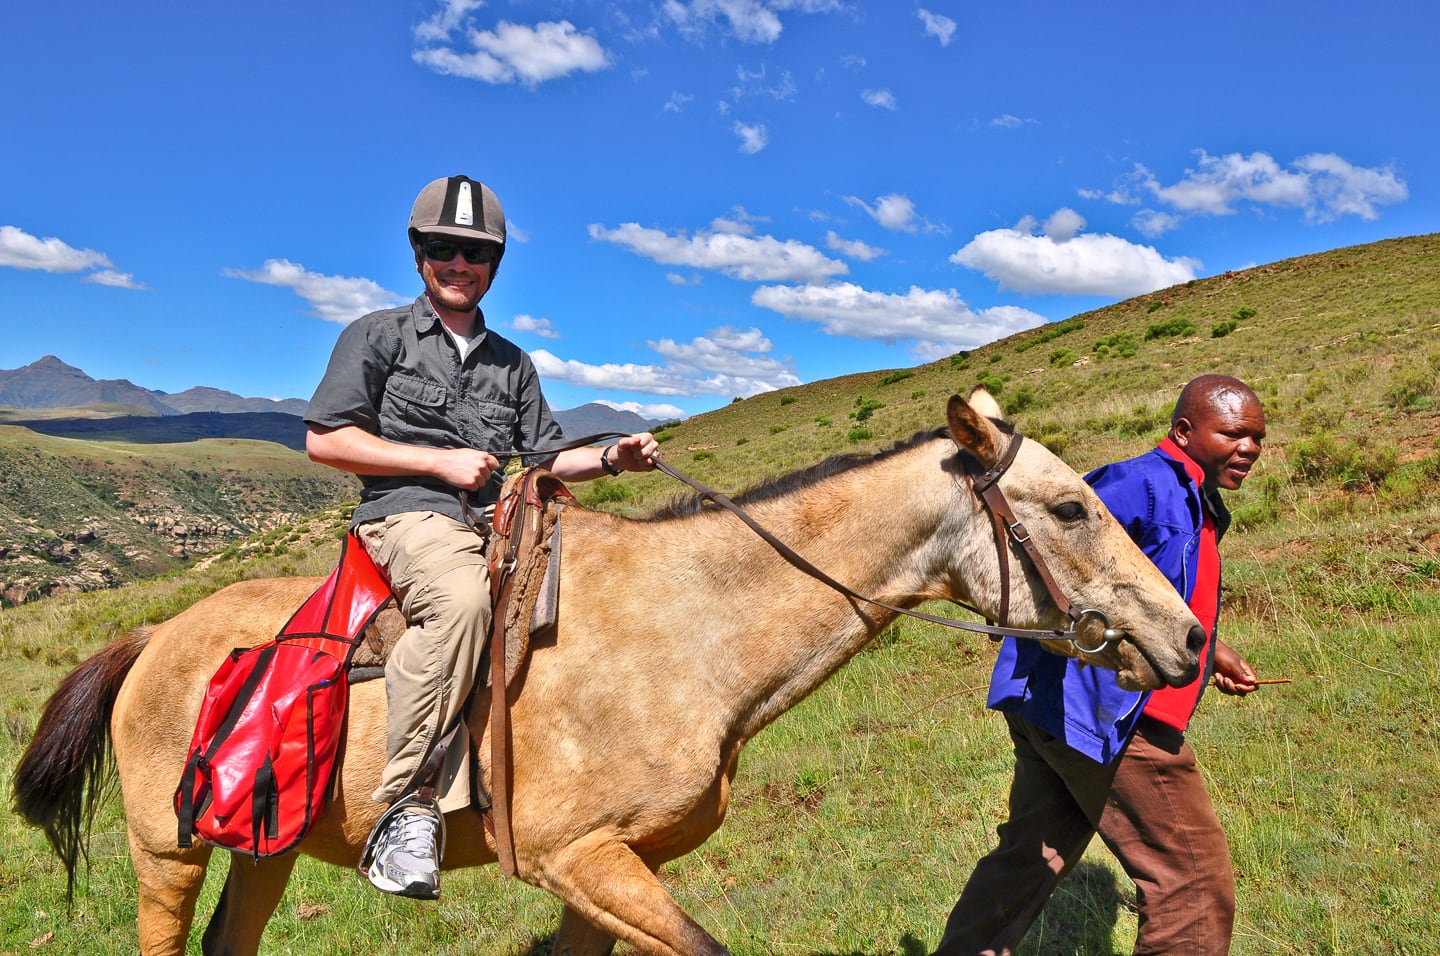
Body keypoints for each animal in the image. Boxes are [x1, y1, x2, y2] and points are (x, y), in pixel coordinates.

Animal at [11, 391, 1203, 956]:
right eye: (1070, 507)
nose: (1188, 638)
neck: (691, 633)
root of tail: (148, 639)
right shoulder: (581, 858)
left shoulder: (606, 873)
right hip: (166, 849)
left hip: (265, 847)